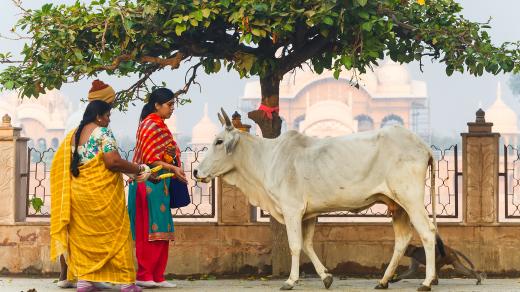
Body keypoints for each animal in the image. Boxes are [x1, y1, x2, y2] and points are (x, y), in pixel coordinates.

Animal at [195, 109, 442, 292]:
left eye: (219, 141)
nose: (196, 171)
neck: (267, 158)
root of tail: (423, 146)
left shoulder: (292, 209)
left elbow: (295, 245)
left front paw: (290, 281)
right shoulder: (309, 214)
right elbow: (307, 244)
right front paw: (326, 277)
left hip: (411, 199)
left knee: (427, 233)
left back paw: (426, 282)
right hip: (397, 205)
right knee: (402, 239)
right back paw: (383, 281)